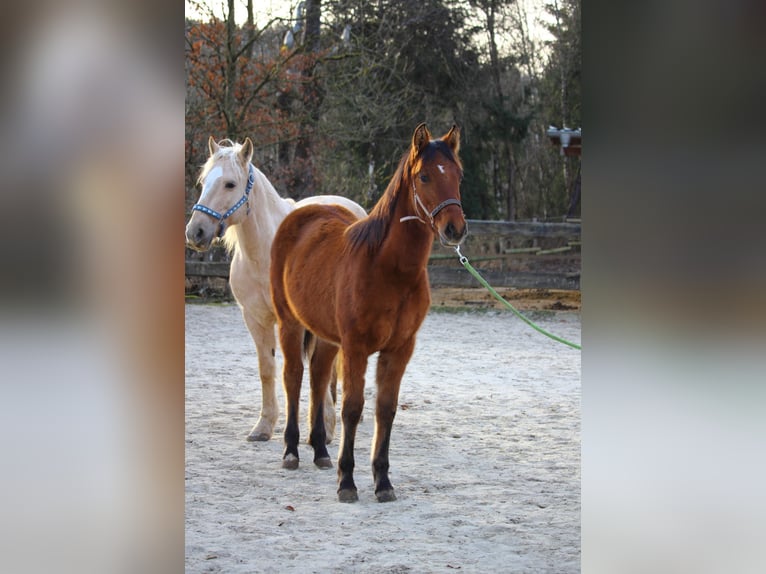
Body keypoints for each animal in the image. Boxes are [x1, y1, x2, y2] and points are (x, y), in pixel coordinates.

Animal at [185, 136, 367, 443]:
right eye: (203, 181)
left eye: (230, 184)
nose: (195, 232)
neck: (266, 254)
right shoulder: (255, 319)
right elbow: (268, 369)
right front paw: (264, 426)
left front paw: (321, 427)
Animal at [270, 123, 467, 502]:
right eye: (423, 177)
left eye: (458, 175)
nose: (455, 228)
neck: (389, 270)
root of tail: (299, 215)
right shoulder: (357, 347)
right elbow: (352, 408)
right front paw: (347, 482)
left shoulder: (400, 349)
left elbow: (385, 410)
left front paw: (383, 482)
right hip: (289, 323)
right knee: (293, 377)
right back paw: (291, 451)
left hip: (327, 336)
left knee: (318, 378)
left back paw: (320, 451)